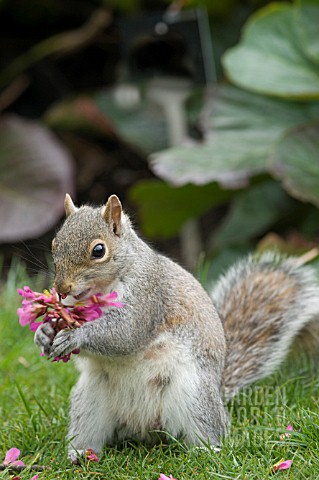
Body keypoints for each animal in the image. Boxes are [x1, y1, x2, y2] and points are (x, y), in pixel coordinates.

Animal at [33, 193, 319, 464]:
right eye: (55, 244)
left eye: (99, 250)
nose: (62, 289)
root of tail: (144, 428)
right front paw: (44, 333)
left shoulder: (149, 296)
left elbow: (126, 334)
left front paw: (76, 335)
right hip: (89, 399)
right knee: (88, 430)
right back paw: (81, 454)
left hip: (195, 395)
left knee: (212, 430)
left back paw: (208, 450)